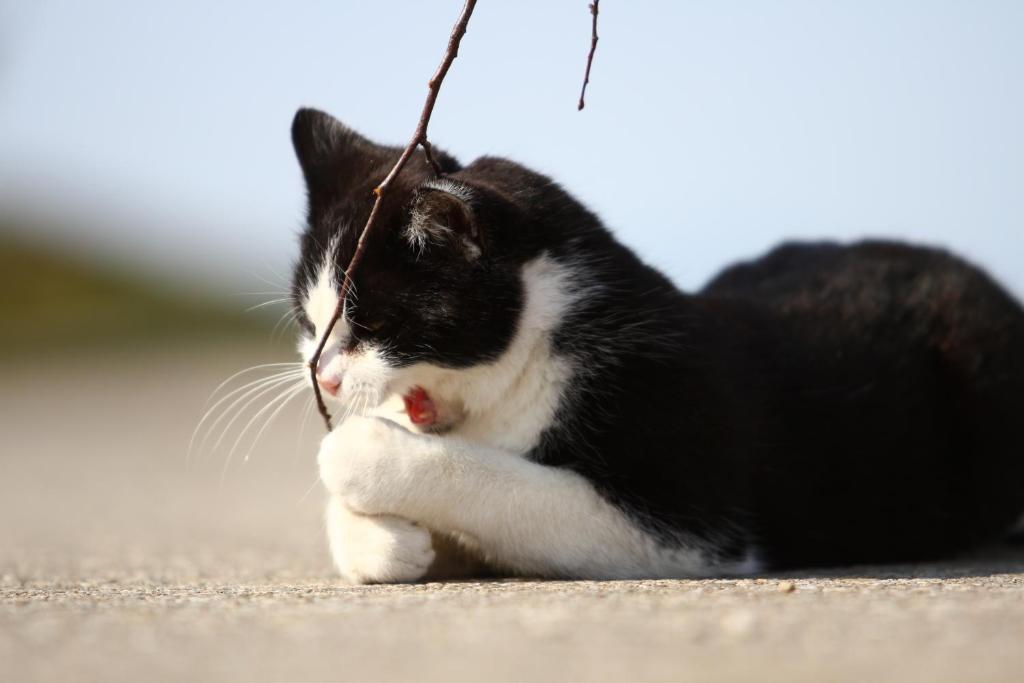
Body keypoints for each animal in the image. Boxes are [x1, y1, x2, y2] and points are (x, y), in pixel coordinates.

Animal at [286, 109, 1024, 585]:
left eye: (375, 322)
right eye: (310, 321)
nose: (323, 377)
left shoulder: (690, 522)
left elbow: (501, 485)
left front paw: (360, 454)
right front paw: (388, 541)